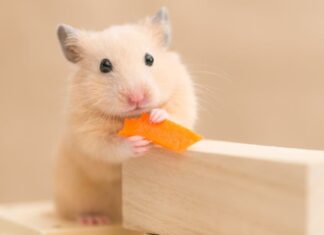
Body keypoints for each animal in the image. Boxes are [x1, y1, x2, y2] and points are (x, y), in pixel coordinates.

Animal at [55, 6, 197, 224]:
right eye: (104, 65)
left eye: (150, 59)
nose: (137, 97)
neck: (132, 117)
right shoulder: (87, 131)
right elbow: (108, 146)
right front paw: (137, 143)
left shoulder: (183, 95)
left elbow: (177, 114)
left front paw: (157, 115)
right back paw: (93, 219)